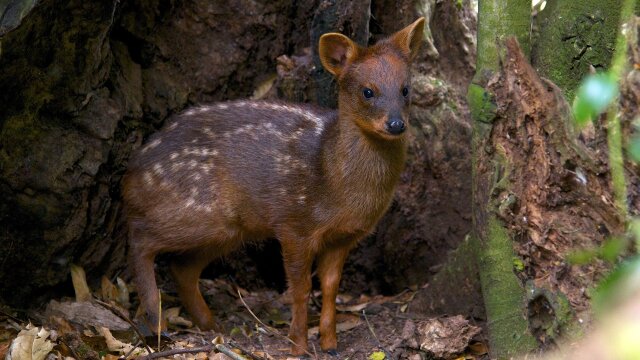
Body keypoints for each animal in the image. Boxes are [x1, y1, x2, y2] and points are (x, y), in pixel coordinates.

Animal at [124, 16, 424, 354]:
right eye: (367, 91)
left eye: (406, 89)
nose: (396, 124)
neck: (335, 180)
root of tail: (130, 176)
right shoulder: (294, 224)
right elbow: (300, 288)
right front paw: (298, 346)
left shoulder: (343, 236)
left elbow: (330, 287)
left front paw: (330, 343)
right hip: (195, 209)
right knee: (141, 239)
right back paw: (156, 319)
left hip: (227, 228)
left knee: (181, 268)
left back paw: (211, 326)